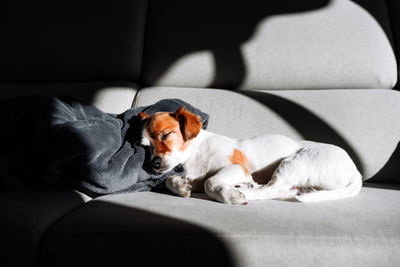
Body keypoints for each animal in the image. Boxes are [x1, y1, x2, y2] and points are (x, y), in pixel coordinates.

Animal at [141, 105, 362, 204]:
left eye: (166, 135)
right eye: (145, 146)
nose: (154, 164)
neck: (196, 154)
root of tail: (356, 173)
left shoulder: (238, 168)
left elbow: (210, 182)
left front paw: (228, 194)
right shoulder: (195, 176)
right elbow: (171, 181)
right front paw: (180, 186)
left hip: (294, 162)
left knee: (268, 189)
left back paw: (242, 191)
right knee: (274, 191)